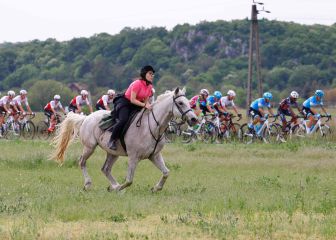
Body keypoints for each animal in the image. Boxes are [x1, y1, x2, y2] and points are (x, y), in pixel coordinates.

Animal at [50, 87, 197, 192]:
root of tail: (86, 117)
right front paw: (117, 189)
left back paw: (113, 185)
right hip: (89, 147)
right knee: (82, 162)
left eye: (189, 102)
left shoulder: (154, 155)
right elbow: (129, 180)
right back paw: (89, 184)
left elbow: (166, 172)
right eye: (180, 103)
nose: (194, 119)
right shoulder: (133, 156)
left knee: (105, 169)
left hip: (113, 153)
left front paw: (156, 188)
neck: (151, 126)